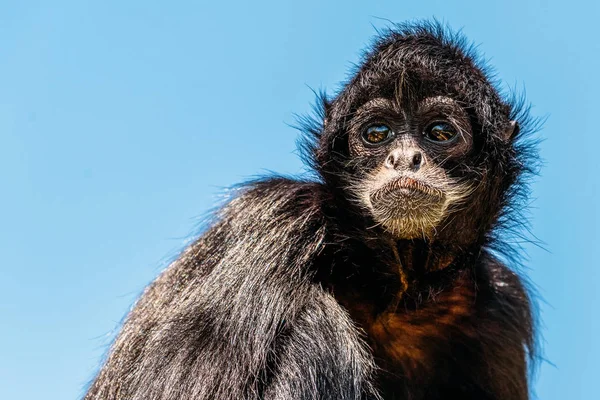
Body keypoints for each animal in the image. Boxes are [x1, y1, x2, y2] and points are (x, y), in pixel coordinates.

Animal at [84, 21, 540, 400]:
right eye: (378, 133)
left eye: (440, 133)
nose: (405, 158)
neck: (395, 293)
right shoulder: (276, 216)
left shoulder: (501, 306)